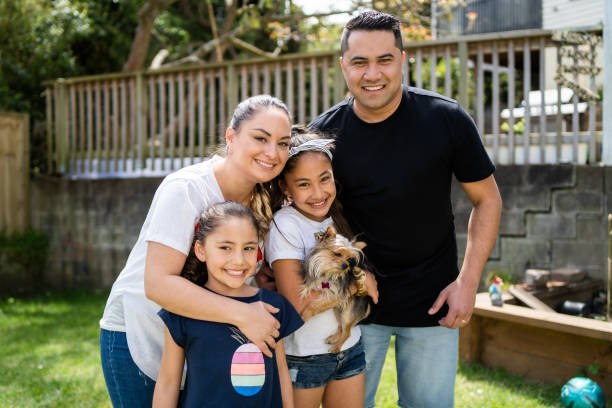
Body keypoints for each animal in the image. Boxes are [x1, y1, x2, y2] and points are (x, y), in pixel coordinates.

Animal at [300, 226, 370, 354]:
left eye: (349, 259)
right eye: (337, 254)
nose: (346, 266)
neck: (328, 273)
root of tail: (367, 304)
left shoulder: (336, 295)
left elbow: (313, 305)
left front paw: (305, 315)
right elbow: (309, 288)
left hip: (348, 312)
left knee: (347, 333)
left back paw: (336, 348)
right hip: (339, 310)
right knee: (341, 327)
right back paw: (333, 338)